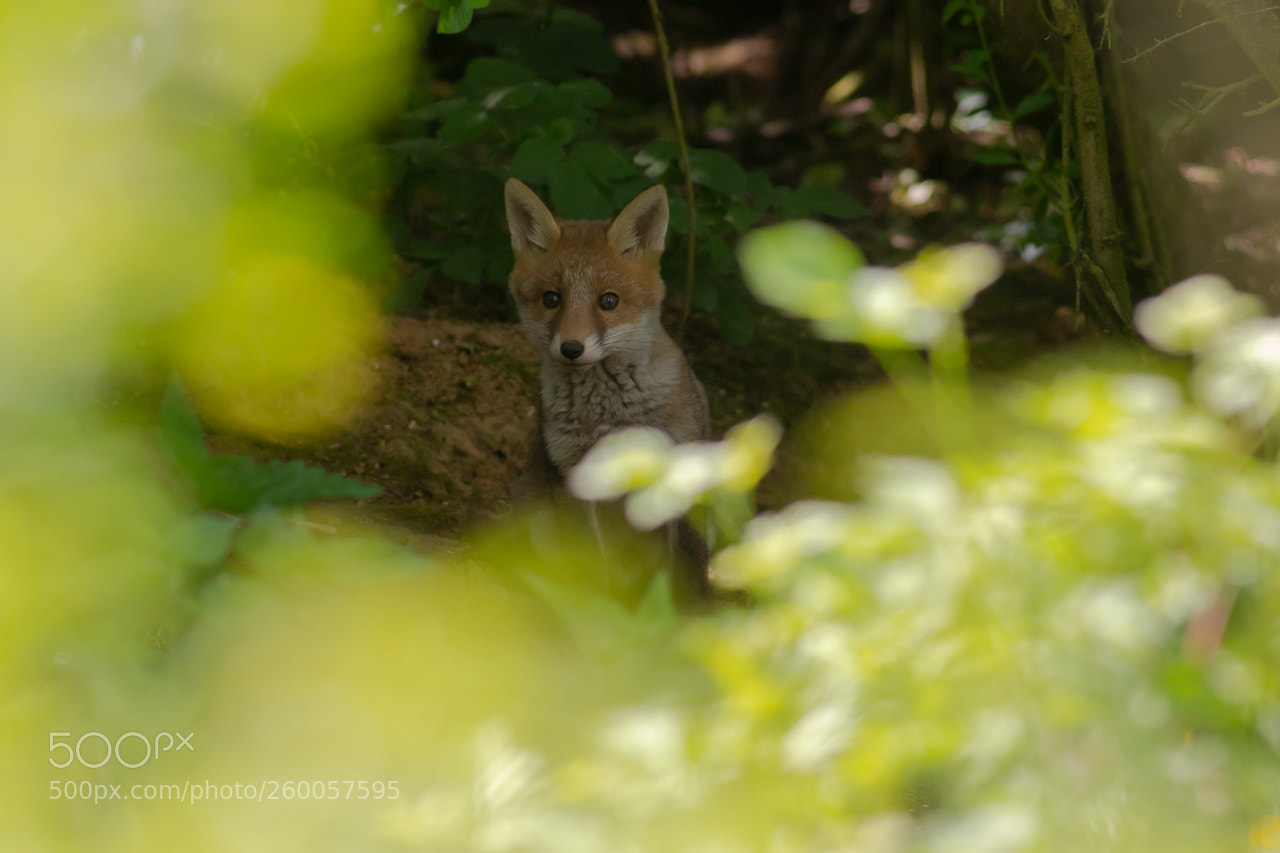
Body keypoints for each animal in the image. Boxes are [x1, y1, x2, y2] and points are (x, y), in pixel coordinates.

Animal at [503, 177, 712, 601]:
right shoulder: (574, 476)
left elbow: (685, 570)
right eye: (552, 299)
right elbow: (593, 574)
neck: (609, 416)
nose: (571, 348)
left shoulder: (680, 470)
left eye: (609, 301)